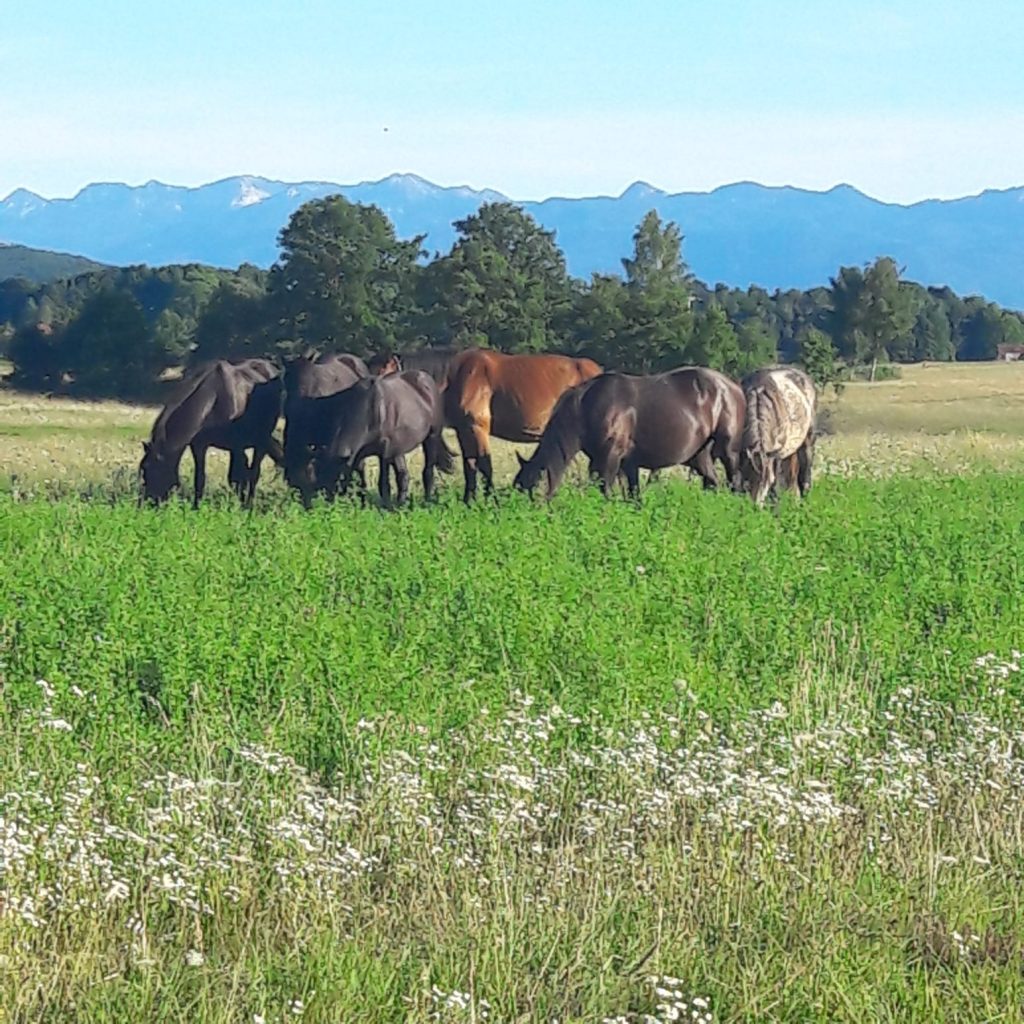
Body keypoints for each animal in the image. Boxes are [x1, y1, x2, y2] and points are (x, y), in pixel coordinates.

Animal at [138, 358, 284, 509]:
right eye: (144, 470)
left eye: (153, 471)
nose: (146, 504)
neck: (214, 401)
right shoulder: (199, 445)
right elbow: (201, 477)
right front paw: (196, 506)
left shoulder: (236, 445)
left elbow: (238, 477)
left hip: (261, 438)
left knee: (254, 472)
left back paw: (249, 504)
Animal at [311, 372, 456, 507]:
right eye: (318, 475)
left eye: (336, 476)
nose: (324, 504)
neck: (370, 409)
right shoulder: (359, 455)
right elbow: (361, 482)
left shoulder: (384, 452)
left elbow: (383, 483)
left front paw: (385, 507)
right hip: (398, 450)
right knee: (403, 476)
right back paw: (400, 504)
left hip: (432, 437)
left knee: (428, 472)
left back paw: (426, 501)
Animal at [444, 350, 602, 501]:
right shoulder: (463, 430)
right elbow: (469, 466)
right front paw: (468, 501)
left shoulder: (477, 427)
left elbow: (484, 465)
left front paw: (491, 501)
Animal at [512, 368, 745, 499]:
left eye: (531, 492)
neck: (587, 408)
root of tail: (733, 387)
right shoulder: (625, 463)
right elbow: (633, 497)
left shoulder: (609, 459)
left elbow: (605, 492)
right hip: (699, 456)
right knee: (713, 483)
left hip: (729, 452)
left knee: (736, 484)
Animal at [741, 366, 819, 505]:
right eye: (748, 477)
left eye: (766, 480)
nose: (755, 506)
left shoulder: (775, 454)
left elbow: (776, 483)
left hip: (808, 442)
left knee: (804, 476)